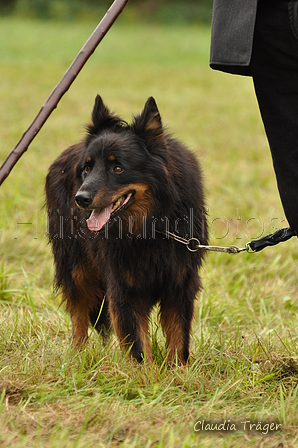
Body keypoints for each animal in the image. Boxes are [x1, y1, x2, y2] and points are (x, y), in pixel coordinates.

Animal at [45, 96, 207, 362]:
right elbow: (138, 346)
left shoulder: (180, 283)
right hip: (75, 266)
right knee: (78, 312)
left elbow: (178, 340)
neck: (150, 225)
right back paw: (78, 357)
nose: (80, 199)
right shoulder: (123, 288)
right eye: (87, 169)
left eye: (118, 168)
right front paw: (147, 374)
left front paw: (178, 372)